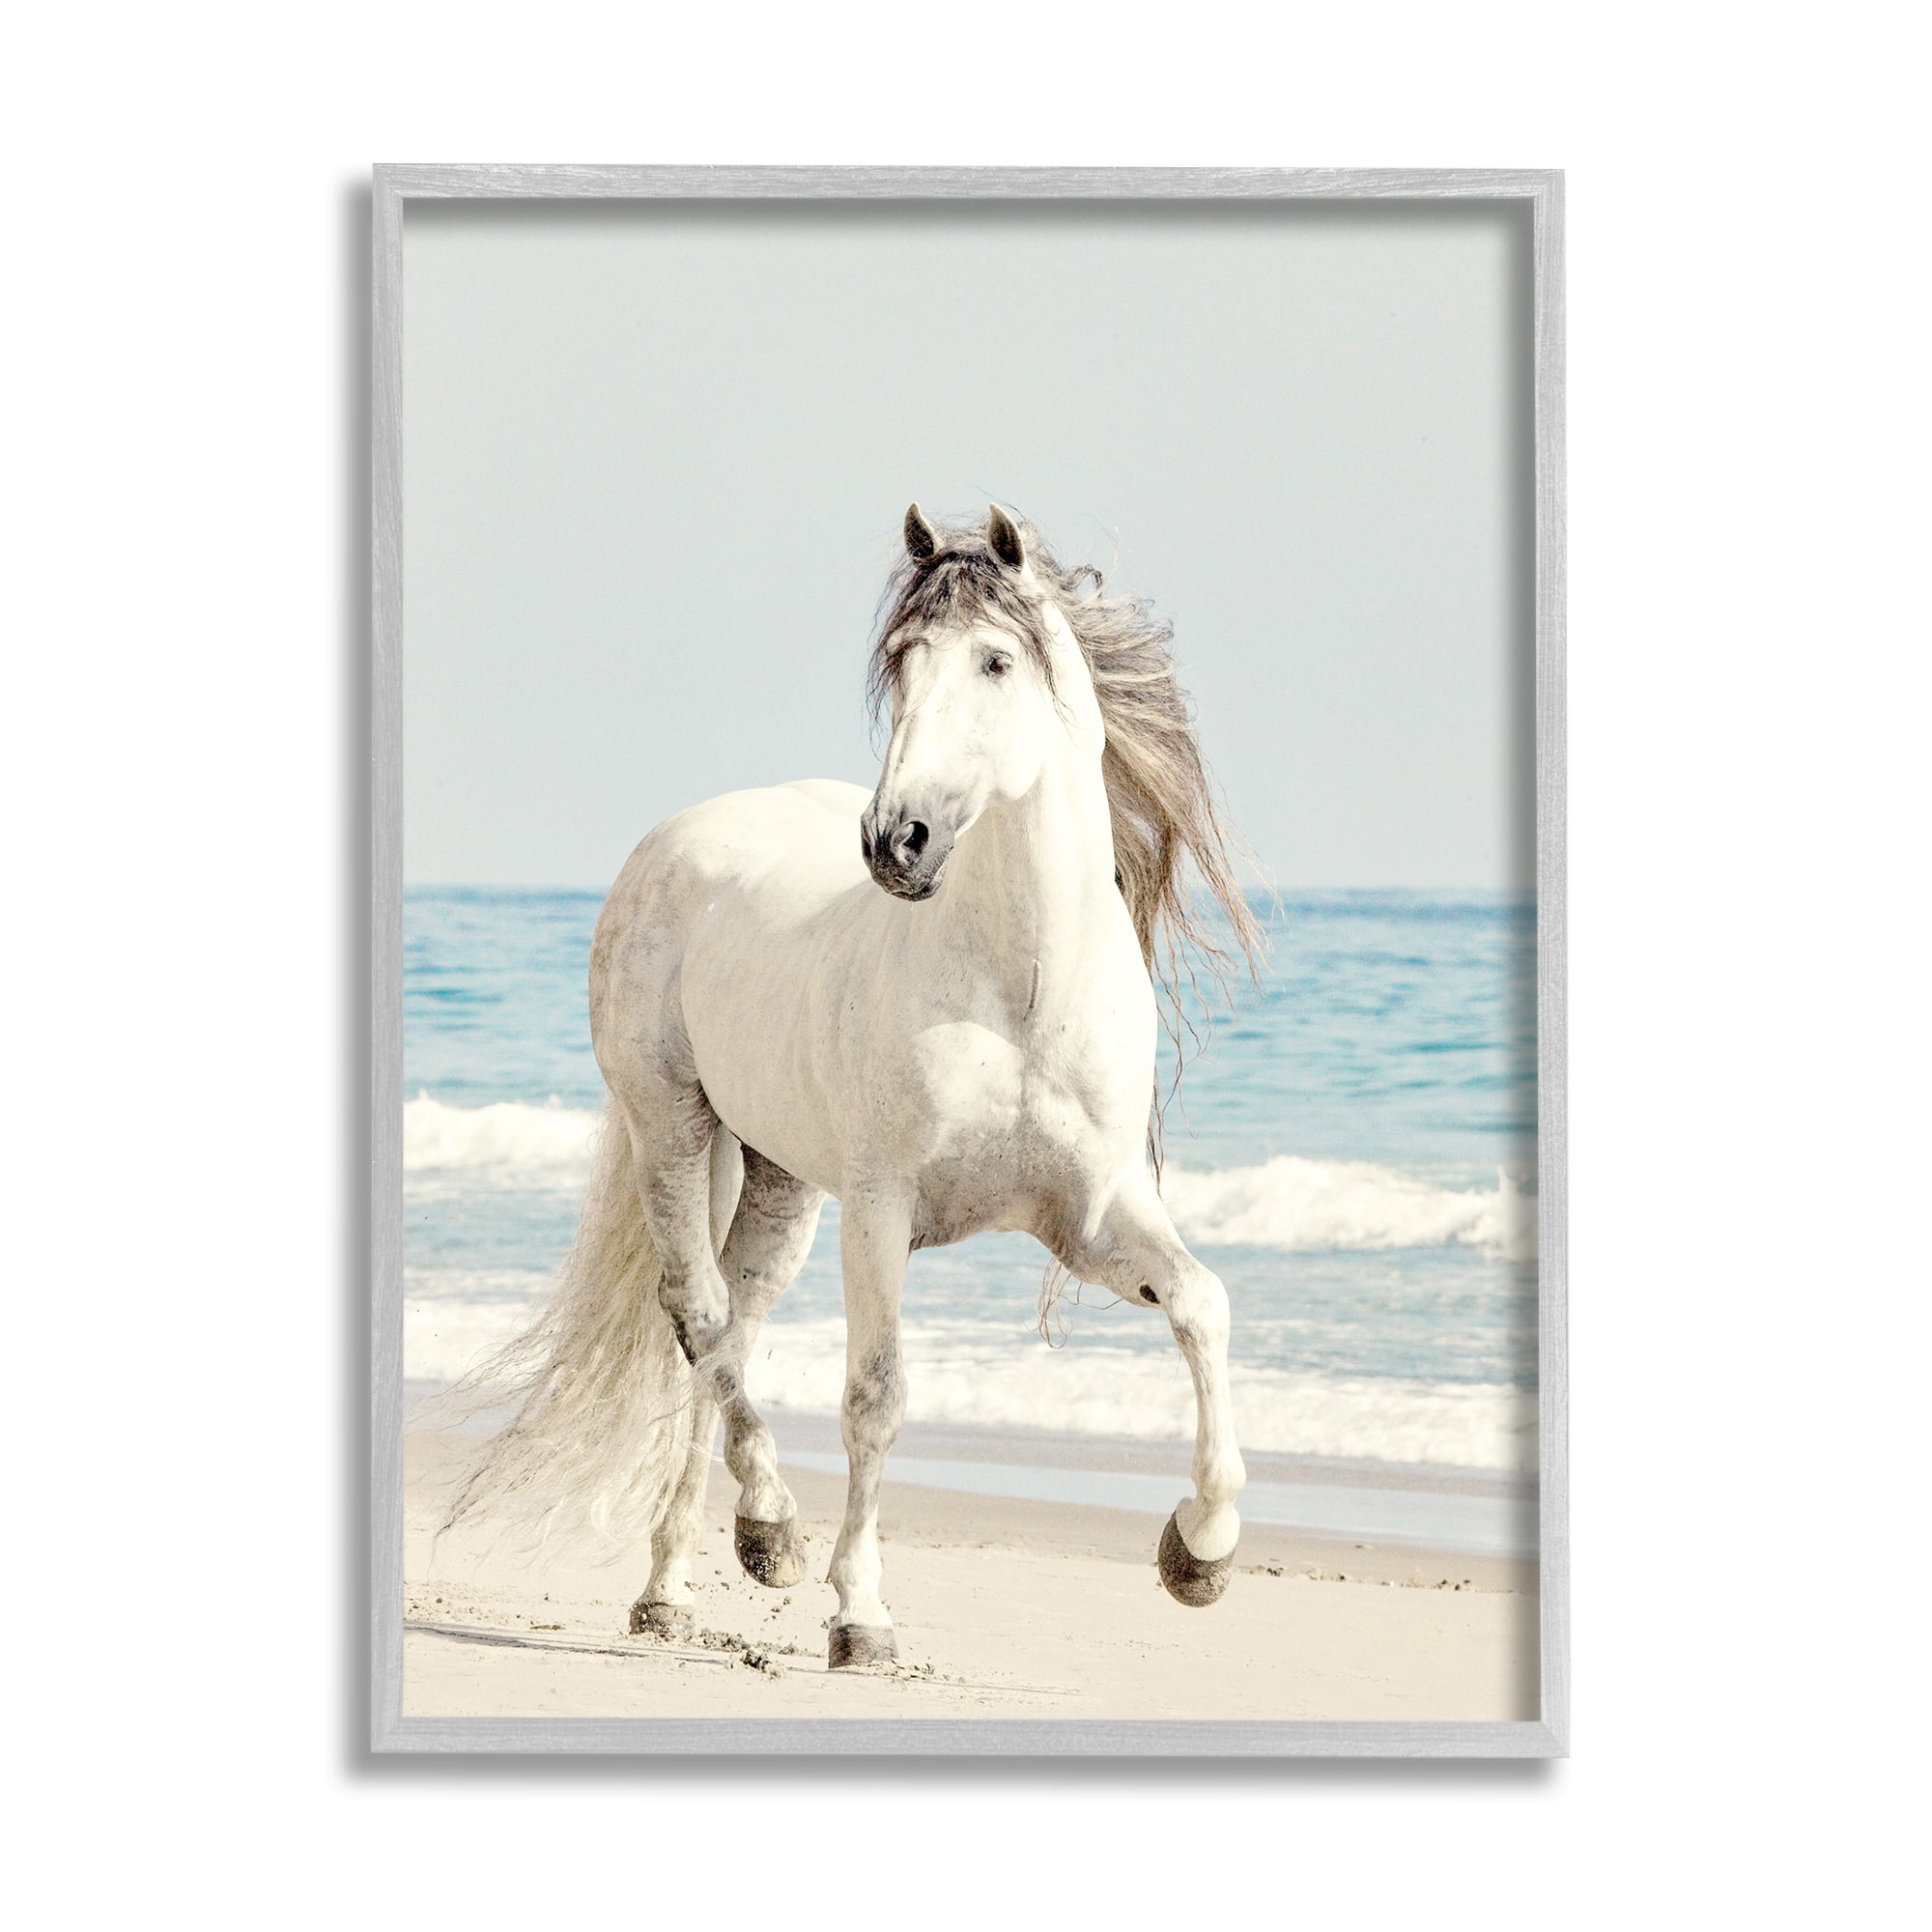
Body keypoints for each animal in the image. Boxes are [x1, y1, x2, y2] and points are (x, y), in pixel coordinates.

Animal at [444, 503, 1263, 1668]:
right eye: (902, 657)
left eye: (995, 659)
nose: (895, 842)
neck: (1018, 988)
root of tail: (677, 836)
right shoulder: (883, 1211)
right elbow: (876, 1396)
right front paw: (860, 1616)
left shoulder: (1091, 1216)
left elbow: (1201, 1303)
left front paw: (1199, 1552)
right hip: (675, 1129)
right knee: (700, 1316)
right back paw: (768, 1535)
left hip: (782, 1181)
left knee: (731, 1326)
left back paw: (680, 1584)